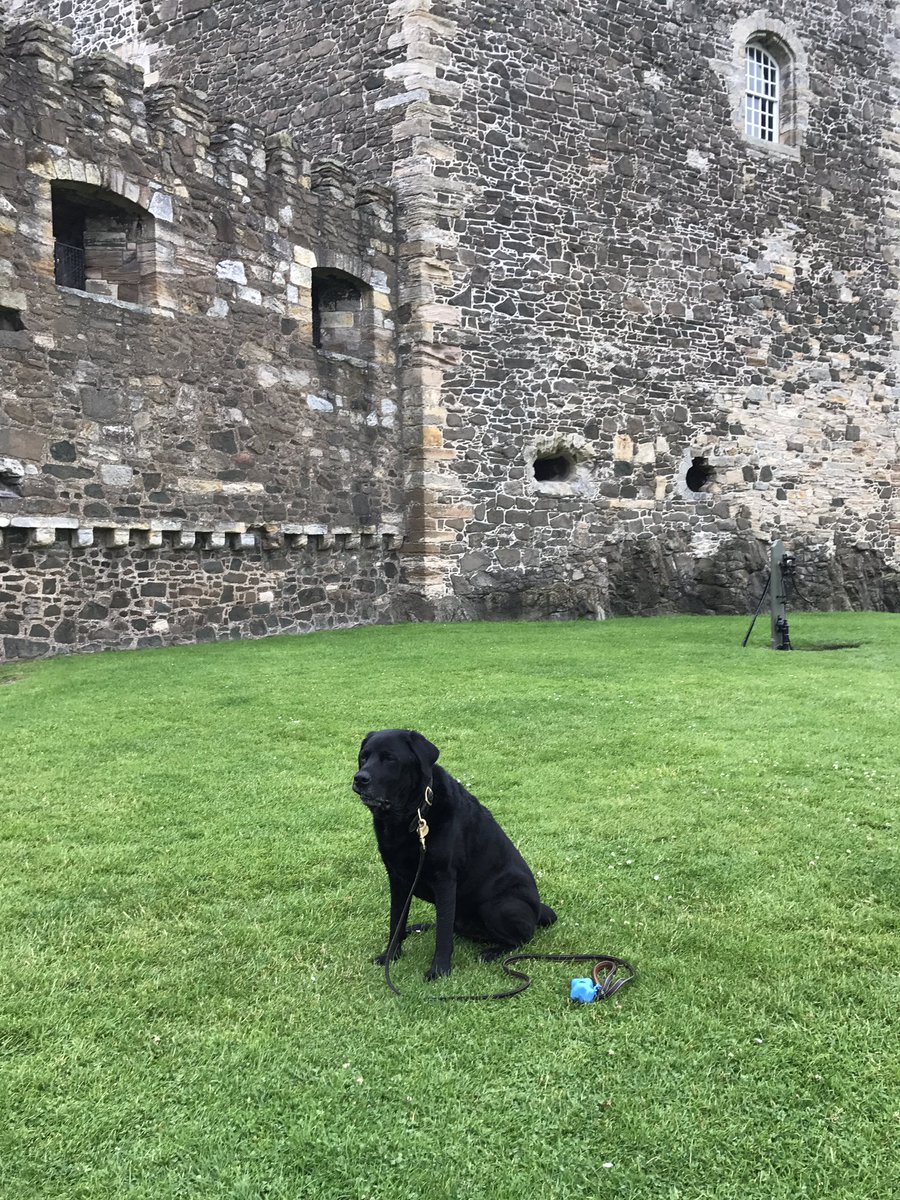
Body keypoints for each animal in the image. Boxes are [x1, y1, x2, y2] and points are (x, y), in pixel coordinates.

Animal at [355, 729, 556, 974]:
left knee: (522, 937)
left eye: (390, 758)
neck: (413, 814)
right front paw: (390, 956)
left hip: (498, 905)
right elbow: (397, 921)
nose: (360, 778)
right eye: (364, 757)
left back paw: (492, 952)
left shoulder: (445, 879)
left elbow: (443, 933)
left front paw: (439, 971)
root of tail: (538, 911)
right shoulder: (397, 878)